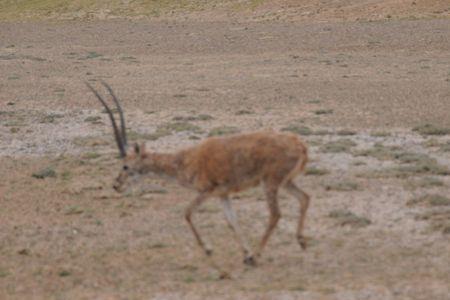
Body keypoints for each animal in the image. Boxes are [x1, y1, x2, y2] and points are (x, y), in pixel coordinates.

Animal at [87, 81, 312, 278]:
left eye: (125, 166)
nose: (116, 185)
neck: (186, 159)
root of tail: (299, 144)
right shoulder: (223, 195)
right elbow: (232, 221)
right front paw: (245, 255)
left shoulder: (207, 191)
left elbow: (187, 213)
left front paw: (210, 250)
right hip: (285, 182)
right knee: (305, 197)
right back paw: (300, 242)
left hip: (270, 183)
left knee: (276, 214)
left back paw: (258, 256)